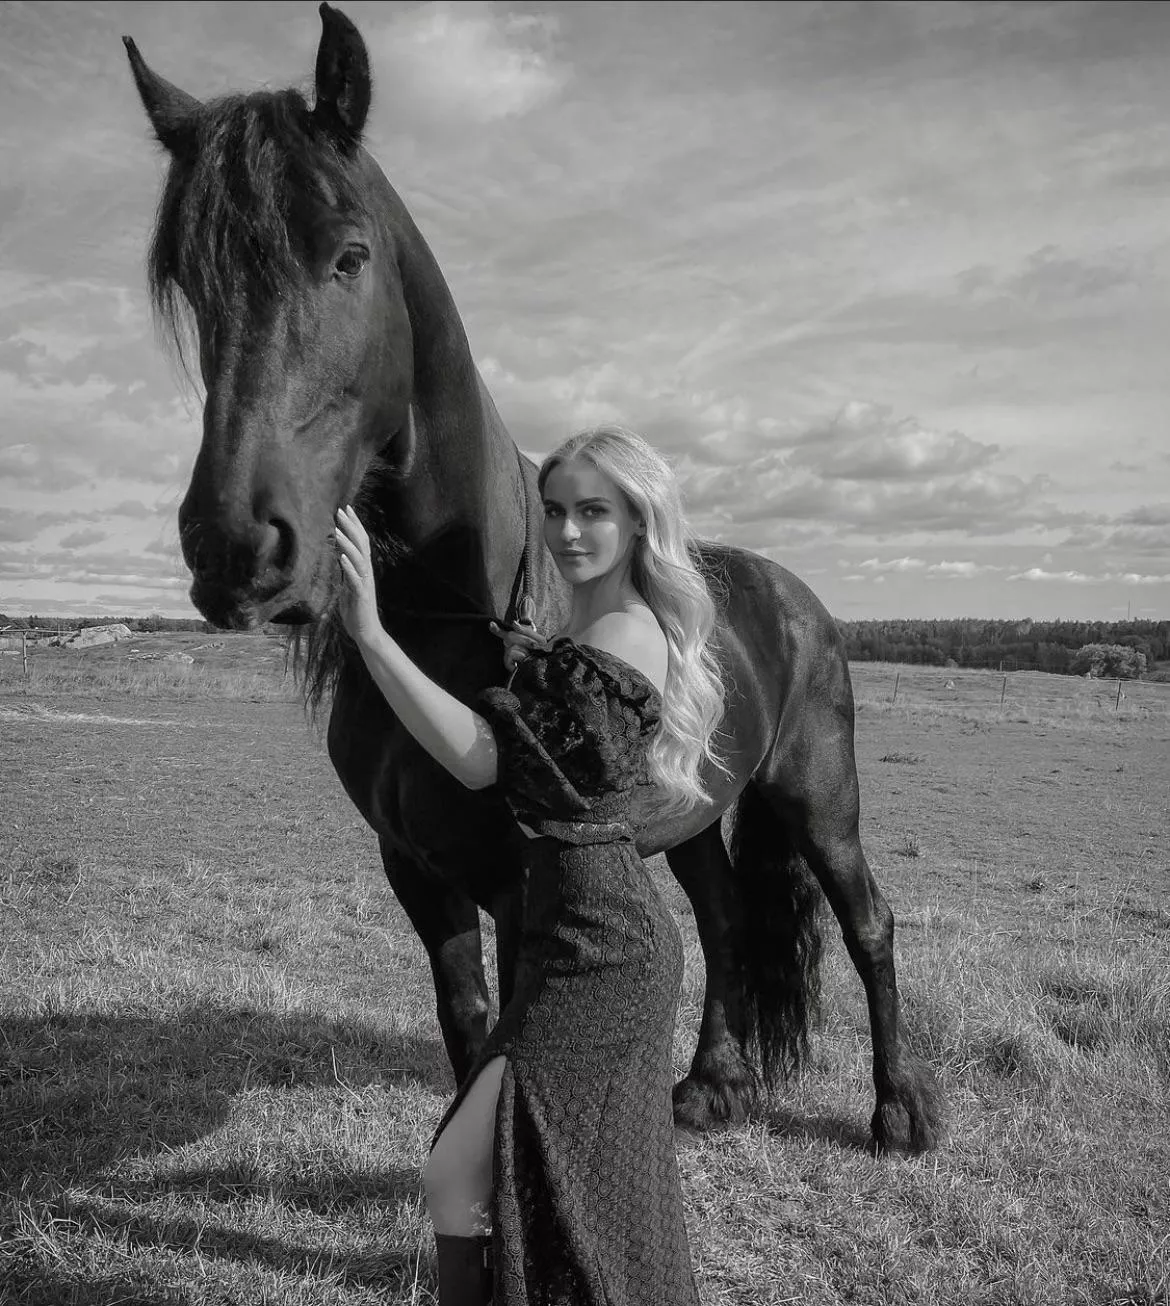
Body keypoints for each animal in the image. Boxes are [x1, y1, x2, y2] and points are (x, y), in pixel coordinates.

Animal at [123, 2, 944, 1153]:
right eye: (192, 283)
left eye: (348, 256)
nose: (238, 548)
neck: (457, 616)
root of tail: (800, 602)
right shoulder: (420, 876)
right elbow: (471, 1034)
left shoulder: (522, 887)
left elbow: (517, 1047)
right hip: (697, 814)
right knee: (725, 915)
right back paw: (711, 1084)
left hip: (821, 800)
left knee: (868, 922)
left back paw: (898, 1107)